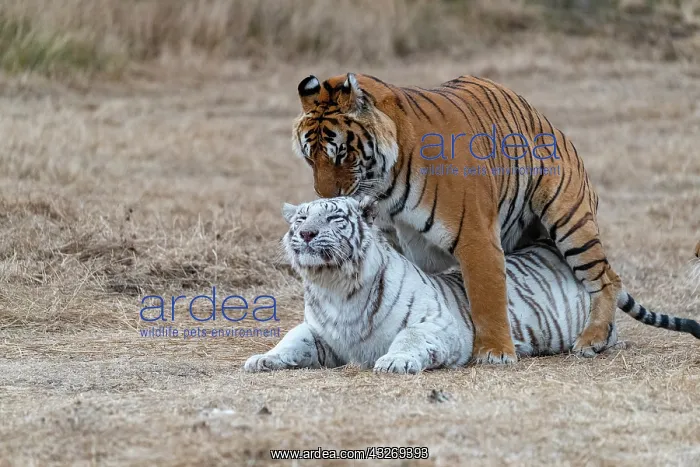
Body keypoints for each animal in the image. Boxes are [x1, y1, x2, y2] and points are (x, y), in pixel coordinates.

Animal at [242, 197, 700, 374]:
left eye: (335, 218)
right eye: (302, 218)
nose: (305, 234)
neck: (336, 287)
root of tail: (546, 244)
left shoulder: (444, 325)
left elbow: (409, 337)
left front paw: (394, 362)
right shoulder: (323, 334)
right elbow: (293, 338)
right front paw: (263, 359)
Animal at [292, 72, 636, 363]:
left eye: (342, 154)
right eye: (310, 157)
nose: (326, 197)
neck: (385, 189)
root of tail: (548, 123)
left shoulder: (475, 235)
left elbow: (487, 296)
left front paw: (495, 353)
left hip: (569, 220)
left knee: (605, 279)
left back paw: (592, 339)